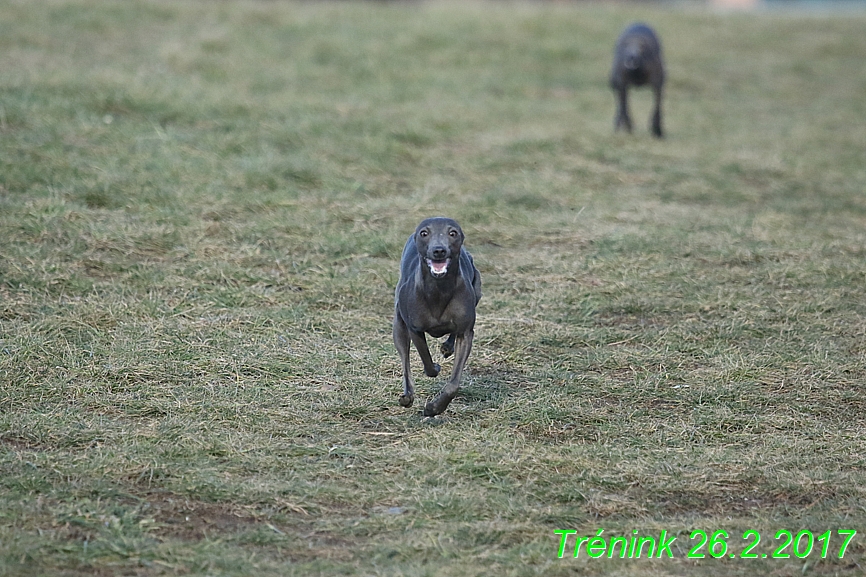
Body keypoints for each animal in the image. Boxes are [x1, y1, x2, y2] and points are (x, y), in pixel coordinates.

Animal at [392, 216, 480, 414]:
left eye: (452, 233)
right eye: (424, 233)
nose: (438, 250)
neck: (439, 290)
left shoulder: (465, 332)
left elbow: (453, 384)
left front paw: (434, 408)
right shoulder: (414, 329)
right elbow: (426, 361)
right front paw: (433, 368)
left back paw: (447, 346)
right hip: (399, 326)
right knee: (405, 361)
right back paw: (407, 395)